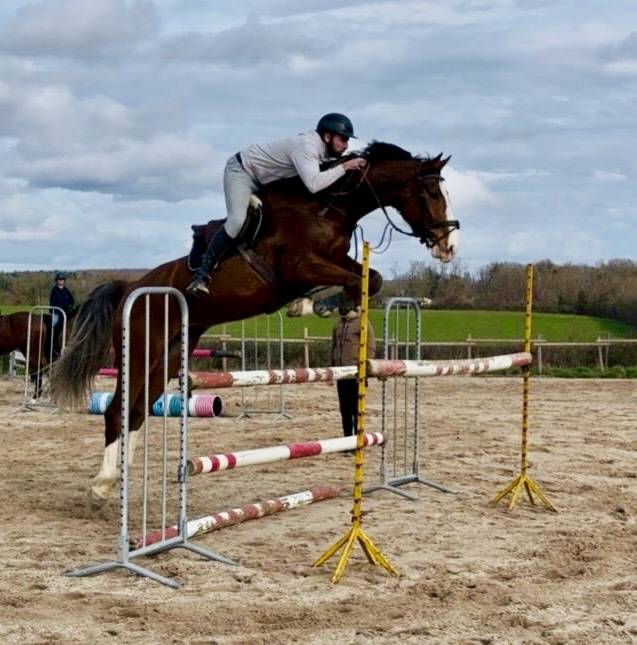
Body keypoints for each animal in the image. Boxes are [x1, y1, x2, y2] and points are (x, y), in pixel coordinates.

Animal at [51, 141, 459, 507]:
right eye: (431, 192)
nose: (447, 246)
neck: (329, 207)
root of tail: (130, 287)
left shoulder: (334, 261)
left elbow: (369, 277)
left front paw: (329, 303)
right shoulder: (298, 266)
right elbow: (362, 278)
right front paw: (317, 304)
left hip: (168, 355)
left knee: (135, 413)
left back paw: (116, 484)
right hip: (139, 349)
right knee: (116, 410)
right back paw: (100, 489)